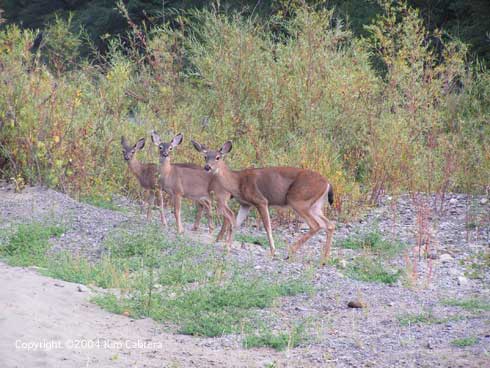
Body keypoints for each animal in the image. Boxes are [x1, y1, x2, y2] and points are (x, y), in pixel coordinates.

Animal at [191, 139, 336, 264]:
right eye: (205, 157)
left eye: (218, 157)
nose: (207, 167)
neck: (237, 182)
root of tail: (328, 184)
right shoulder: (245, 204)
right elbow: (235, 224)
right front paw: (227, 246)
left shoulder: (261, 201)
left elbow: (267, 227)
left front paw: (273, 251)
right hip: (315, 205)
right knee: (329, 224)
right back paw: (324, 258)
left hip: (298, 199)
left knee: (316, 225)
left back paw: (290, 251)